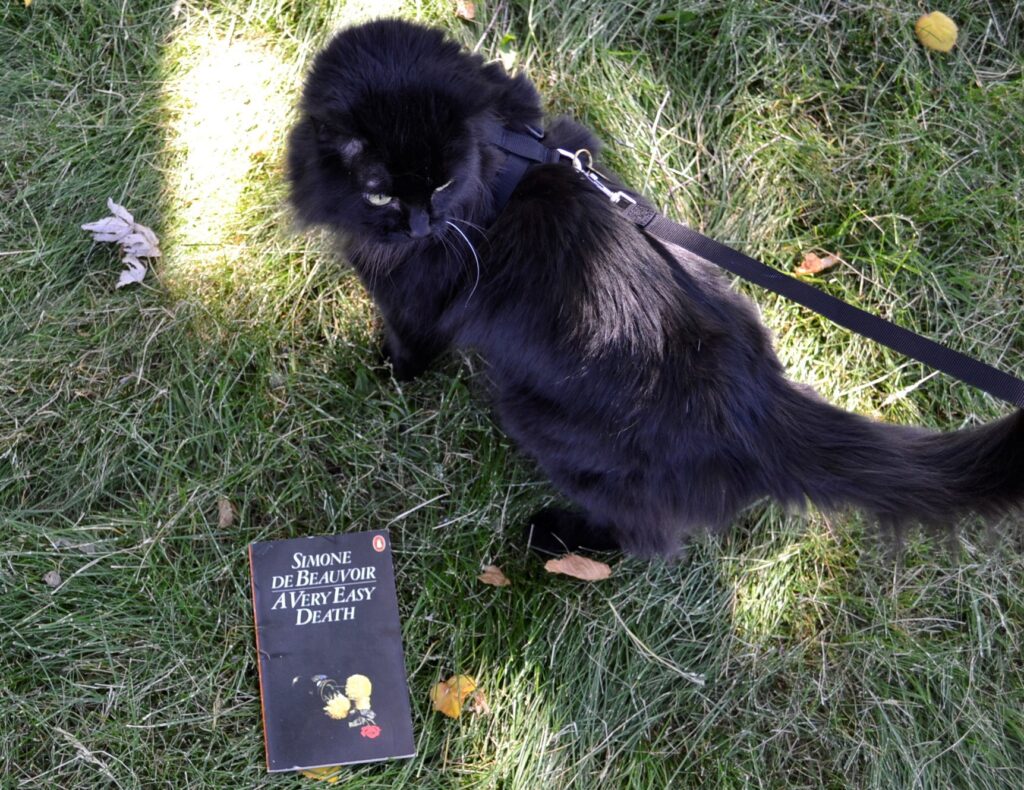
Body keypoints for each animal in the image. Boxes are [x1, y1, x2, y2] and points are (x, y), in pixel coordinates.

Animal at [284, 20, 1019, 561]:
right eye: (382, 191)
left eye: (438, 183)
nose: (420, 224)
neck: (494, 151)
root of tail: (760, 405)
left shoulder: (411, 294)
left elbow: (409, 342)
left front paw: (377, 373)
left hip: (538, 417)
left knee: (647, 537)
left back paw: (555, 536)